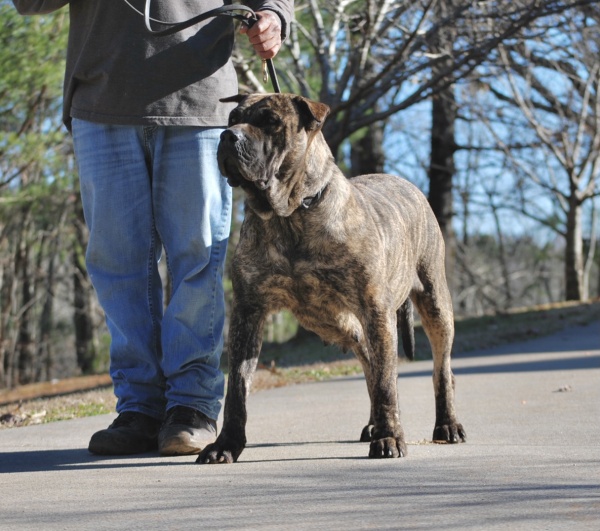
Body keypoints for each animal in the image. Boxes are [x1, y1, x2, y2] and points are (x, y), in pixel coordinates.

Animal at [199, 93, 466, 464]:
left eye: (270, 121)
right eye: (231, 119)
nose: (228, 137)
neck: (290, 216)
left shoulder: (376, 311)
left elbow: (388, 383)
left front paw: (390, 438)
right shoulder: (247, 313)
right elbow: (237, 386)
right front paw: (226, 444)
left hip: (434, 304)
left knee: (440, 369)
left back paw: (446, 425)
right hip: (338, 322)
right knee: (370, 363)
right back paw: (375, 423)